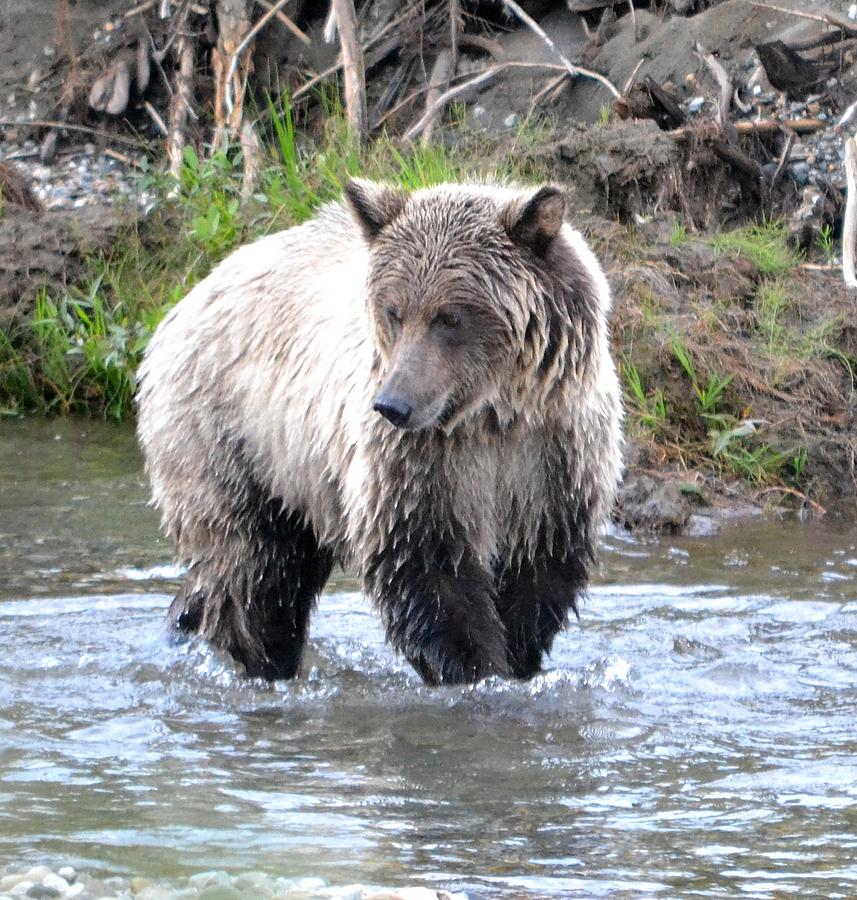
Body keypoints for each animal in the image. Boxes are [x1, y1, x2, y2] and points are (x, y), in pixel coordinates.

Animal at [139, 179, 620, 684]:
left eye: (450, 316)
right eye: (394, 310)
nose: (393, 404)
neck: (492, 415)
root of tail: (181, 303)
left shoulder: (553, 457)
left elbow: (537, 575)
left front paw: (517, 659)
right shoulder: (416, 466)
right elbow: (426, 570)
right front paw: (474, 666)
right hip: (233, 440)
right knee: (256, 570)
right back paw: (260, 657)